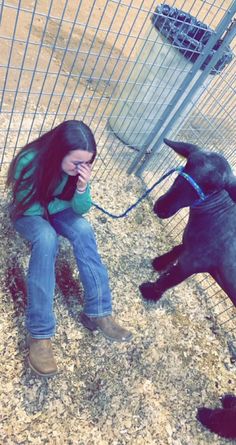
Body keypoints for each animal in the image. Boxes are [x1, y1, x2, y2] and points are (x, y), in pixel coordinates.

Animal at [139, 138, 236, 306]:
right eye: (187, 164)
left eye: (213, 188)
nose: (161, 207)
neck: (219, 211)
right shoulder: (193, 245)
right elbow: (178, 248)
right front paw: (159, 262)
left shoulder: (194, 262)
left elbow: (169, 280)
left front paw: (150, 291)